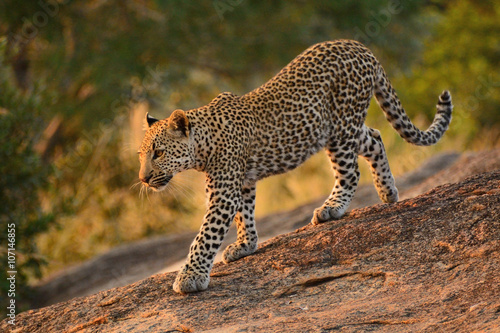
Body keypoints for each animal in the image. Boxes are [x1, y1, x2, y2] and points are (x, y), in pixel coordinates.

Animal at [138, 39, 454, 294]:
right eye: (141, 156)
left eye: (158, 153)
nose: (143, 178)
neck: (202, 143)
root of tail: (359, 46)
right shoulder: (242, 183)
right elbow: (244, 214)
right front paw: (246, 245)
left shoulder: (224, 193)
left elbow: (205, 236)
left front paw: (190, 277)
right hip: (344, 128)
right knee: (375, 138)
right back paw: (388, 192)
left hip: (340, 129)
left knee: (350, 172)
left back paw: (332, 208)